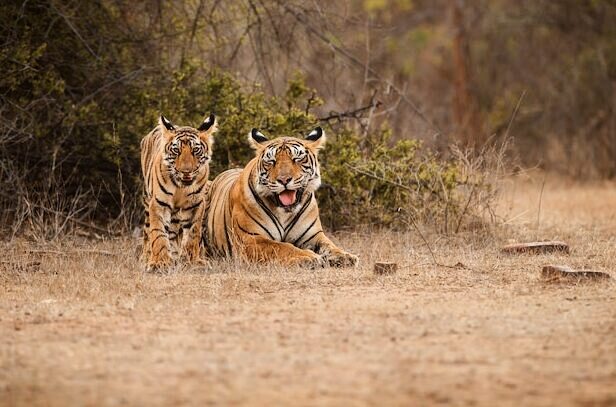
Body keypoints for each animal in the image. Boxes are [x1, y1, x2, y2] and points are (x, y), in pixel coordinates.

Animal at [141, 113, 218, 272]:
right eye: (176, 151)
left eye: (195, 150)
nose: (186, 171)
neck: (180, 186)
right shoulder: (159, 203)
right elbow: (158, 233)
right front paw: (159, 262)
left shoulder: (195, 204)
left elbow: (193, 234)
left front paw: (193, 262)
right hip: (147, 200)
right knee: (147, 231)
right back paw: (146, 257)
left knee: (173, 231)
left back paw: (175, 255)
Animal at [200, 126, 358, 268]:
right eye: (272, 161)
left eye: (297, 159)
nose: (284, 180)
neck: (285, 212)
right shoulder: (251, 239)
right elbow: (282, 246)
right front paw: (309, 257)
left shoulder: (313, 236)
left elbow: (330, 246)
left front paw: (346, 256)